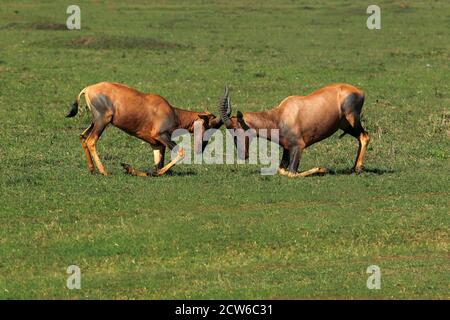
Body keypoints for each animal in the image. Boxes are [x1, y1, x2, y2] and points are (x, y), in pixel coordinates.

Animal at [66, 81, 225, 176]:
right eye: (208, 125)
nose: (200, 148)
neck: (171, 111)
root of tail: (88, 89)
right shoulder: (162, 135)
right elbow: (180, 153)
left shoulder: (156, 144)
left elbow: (158, 165)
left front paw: (130, 168)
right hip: (102, 121)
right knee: (91, 141)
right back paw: (104, 171)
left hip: (95, 122)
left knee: (83, 137)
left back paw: (92, 169)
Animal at [218, 82, 370, 178]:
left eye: (236, 129)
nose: (243, 155)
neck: (280, 116)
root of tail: (360, 92)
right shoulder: (287, 148)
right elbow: (281, 170)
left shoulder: (299, 147)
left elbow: (292, 173)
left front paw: (322, 169)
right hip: (344, 125)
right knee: (361, 137)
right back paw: (354, 168)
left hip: (352, 120)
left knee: (365, 136)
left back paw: (358, 169)